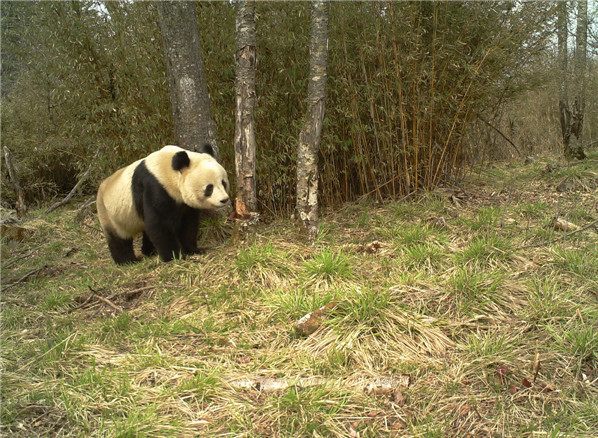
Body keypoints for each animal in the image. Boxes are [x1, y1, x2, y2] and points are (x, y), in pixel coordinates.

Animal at [97, 146, 231, 264]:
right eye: (209, 188)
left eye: (223, 183)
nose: (224, 200)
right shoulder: (155, 187)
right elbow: (159, 224)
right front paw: (174, 257)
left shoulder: (183, 203)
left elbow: (188, 223)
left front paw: (194, 250)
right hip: (109, 213)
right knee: (119, 239)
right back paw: (128, 261)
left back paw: (149, 251)